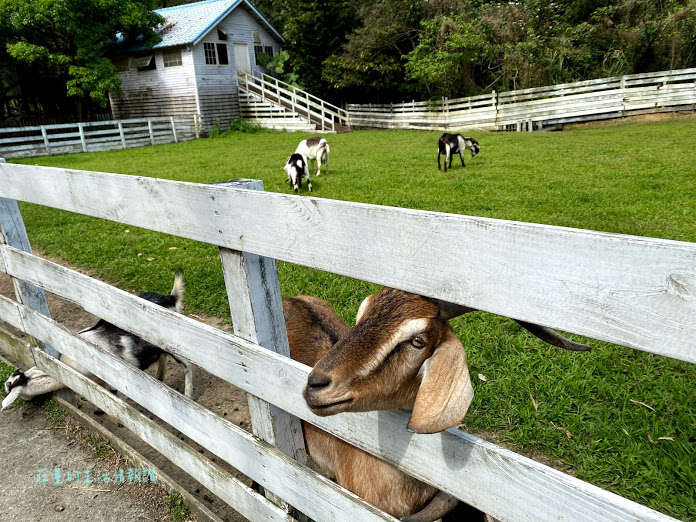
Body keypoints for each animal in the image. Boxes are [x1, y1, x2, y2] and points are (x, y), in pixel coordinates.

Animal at [2, 270, 193, 408]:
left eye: (9, 388)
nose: (4, 387)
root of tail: (170, 298)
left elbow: (119, 397)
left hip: (178, 346)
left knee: (187, 366)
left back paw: (188, 395)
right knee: (162, 356)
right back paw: (159, 377)